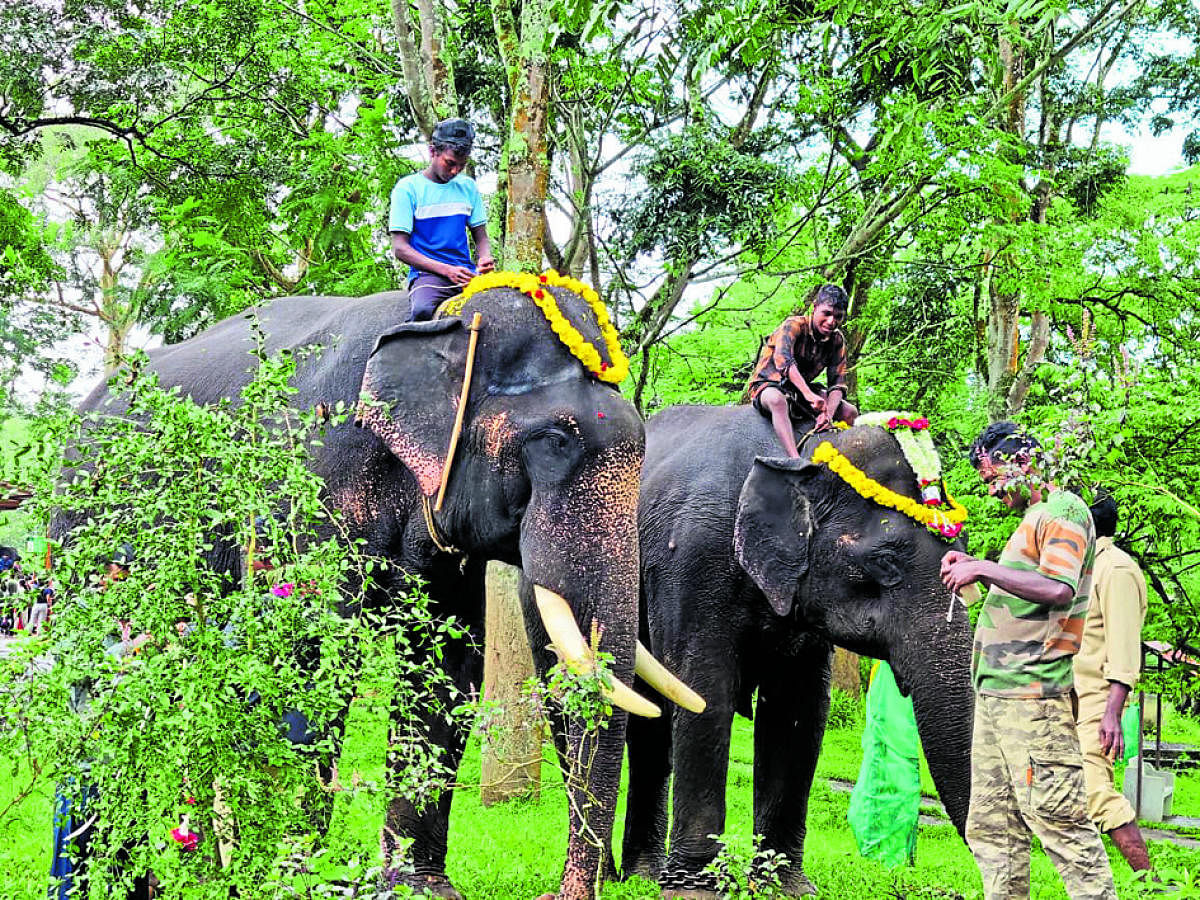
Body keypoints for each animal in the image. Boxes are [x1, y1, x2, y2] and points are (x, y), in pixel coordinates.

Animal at [70, 282, 700, 900]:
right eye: (553, 441)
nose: (558, 893)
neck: (437, 321)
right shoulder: (309, 481)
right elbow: (307, 656)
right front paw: (290, 876)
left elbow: (444, 668)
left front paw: (419, 888)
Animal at [619, 408, 974, 897]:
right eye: (885, 562)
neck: (798, 455)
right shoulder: (691, 558)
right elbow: (703, 689)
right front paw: (696, 888)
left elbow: (799, 711)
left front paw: (783, 887)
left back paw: (642, 874)